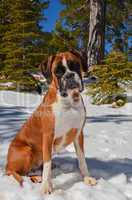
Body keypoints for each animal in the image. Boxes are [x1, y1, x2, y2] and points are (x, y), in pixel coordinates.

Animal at [5, 50, 96, 193]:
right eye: (58, 71)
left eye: (75, 65)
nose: (69, 75)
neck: (69, 101)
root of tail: (6, 164)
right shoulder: (48, 136)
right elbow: (47, 164)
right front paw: (46, 186)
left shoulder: (78, 134)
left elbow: (82, 159)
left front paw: (87, 178)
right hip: (26, 150)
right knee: (17, 173)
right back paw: (36, 178)